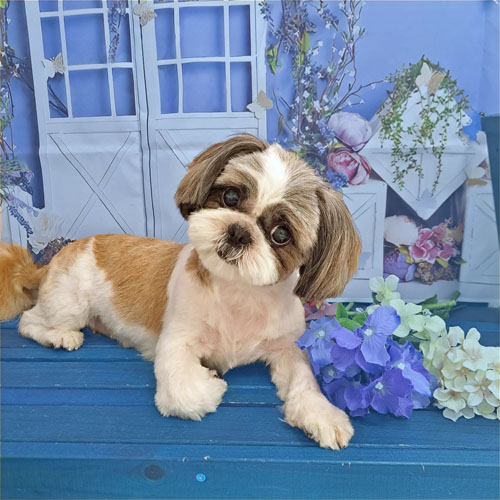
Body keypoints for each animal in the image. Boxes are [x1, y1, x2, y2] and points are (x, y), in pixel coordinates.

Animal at [0, 134, 361, 449]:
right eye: (231, 197)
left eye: (281, 234)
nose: (239, 231)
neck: (239, 294)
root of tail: (60, 254)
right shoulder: (177, 340)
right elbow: (184, 394)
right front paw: (210, 383)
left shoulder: (288, 346)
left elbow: (304, 379)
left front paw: (322, 414)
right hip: (68, 303)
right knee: (29, 320)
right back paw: (60, 336)